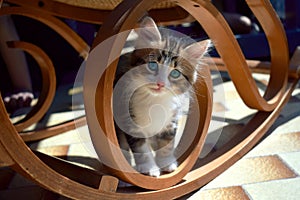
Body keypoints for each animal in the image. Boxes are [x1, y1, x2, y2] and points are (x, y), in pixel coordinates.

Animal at [113, 16, 210, 177]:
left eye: (175, 73)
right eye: (152, 65)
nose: (160, 83)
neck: (154, 100)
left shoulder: (172, 119)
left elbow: (166, 144)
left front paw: (166, 163)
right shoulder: (129, 120)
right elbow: (141, 148)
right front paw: (149, 167)